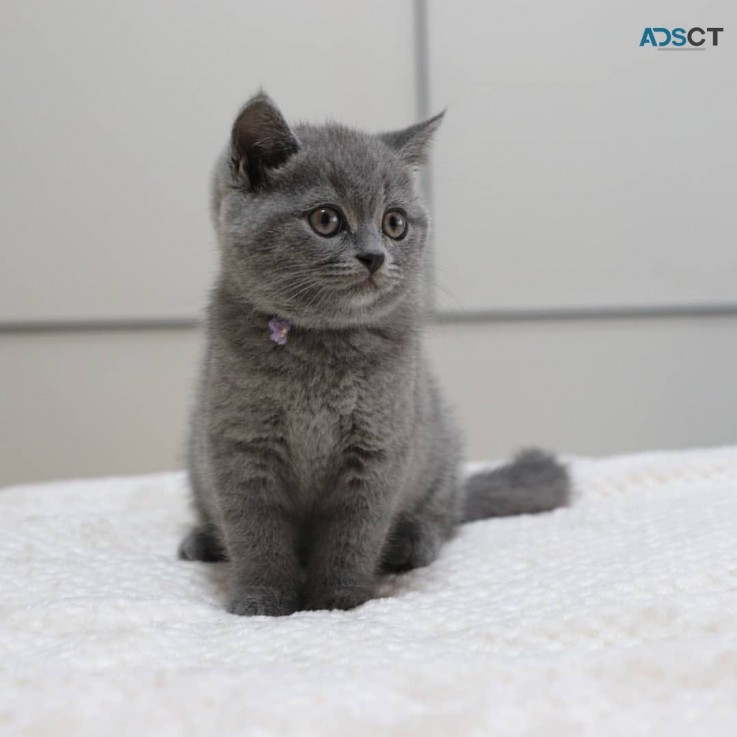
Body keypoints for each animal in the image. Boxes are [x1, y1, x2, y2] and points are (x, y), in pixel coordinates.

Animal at [180, 92, 568, 616]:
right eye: (326, 219)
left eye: (394, 223)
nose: (374, 256)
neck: (320, 345)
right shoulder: (239, 446)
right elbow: (255, 533)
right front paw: (262, 602)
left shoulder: (378, 448)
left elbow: (354, 535)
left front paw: (337, 603)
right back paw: (202, 540)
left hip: (437, 442)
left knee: (445, 516)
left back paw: (411, 541)